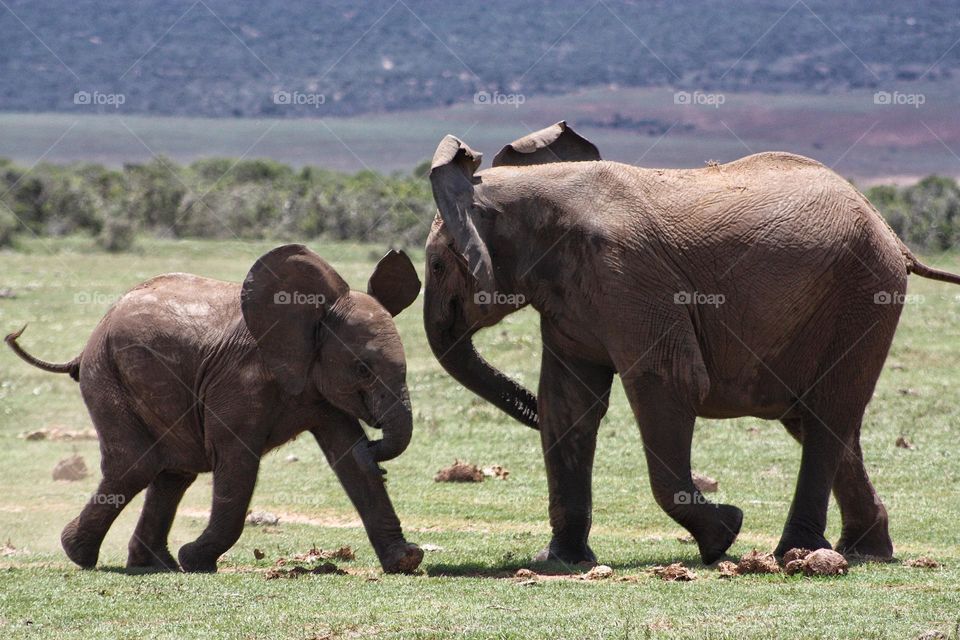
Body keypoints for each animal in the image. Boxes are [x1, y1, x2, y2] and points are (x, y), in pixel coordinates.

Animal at [5, 245, 422, 576]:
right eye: (362, 368)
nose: (376, 447)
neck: (312, 317)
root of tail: (88, 342)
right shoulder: (241, 380)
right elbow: (236, 461)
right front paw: (196, 560)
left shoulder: (318, 386)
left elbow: (348, 460)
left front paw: (406, 560)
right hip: (108, 374)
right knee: (136, 464)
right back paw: (81, 554)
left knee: (172, 472)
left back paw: (153, 564)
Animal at [408, 121, 960, 564]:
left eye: (436, 265)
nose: (524, 408)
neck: (524, 193)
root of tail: (892, 233)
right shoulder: (570, 300)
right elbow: (568, 405)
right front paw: (560, 562)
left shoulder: (627, 277)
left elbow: (668, 383)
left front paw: (725, 535)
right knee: (816, 420)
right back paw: (864, 551)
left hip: (864, 294)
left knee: (826, 416)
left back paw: (795, 553)